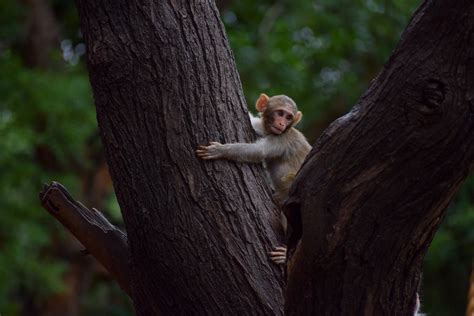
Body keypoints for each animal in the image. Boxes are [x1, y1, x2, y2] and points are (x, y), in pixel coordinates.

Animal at [195, 93, 312, 264]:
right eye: (280, 113)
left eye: (289, 117)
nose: (282, 123)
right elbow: (254, 123)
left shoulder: (281, 139)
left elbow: (257, 151)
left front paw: (221, 150)